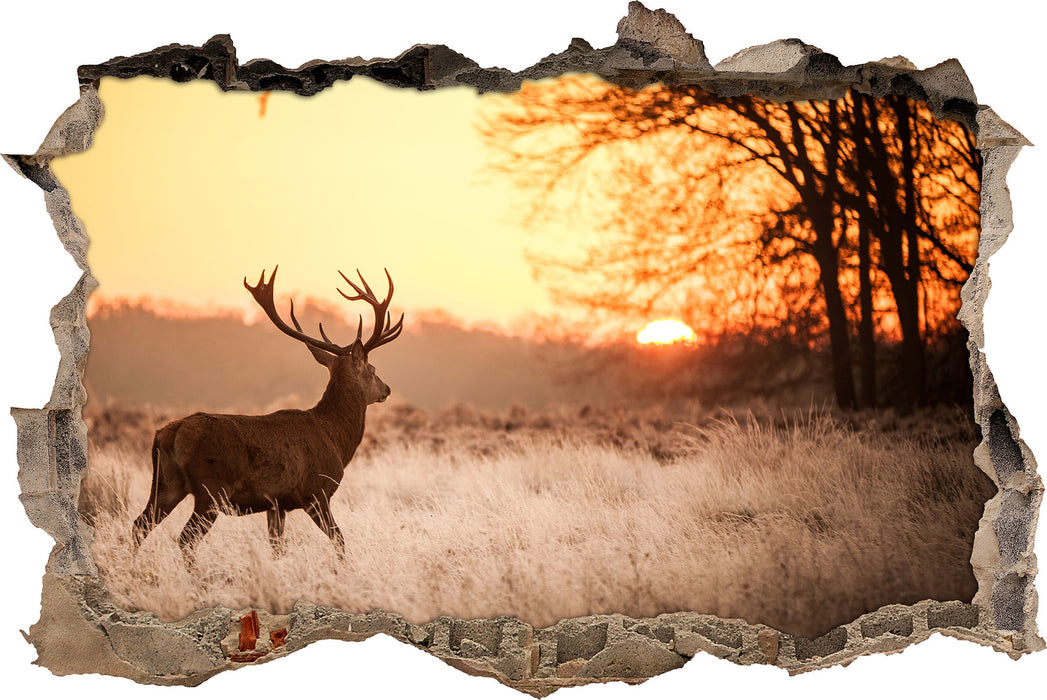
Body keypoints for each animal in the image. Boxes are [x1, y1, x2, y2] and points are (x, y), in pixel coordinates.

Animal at [131, 266, 403, 564]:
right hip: (211, 489)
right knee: (185, 538)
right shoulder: (316, 492)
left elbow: (277, 547)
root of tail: (169, 433)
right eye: (373, 369)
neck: (335, 437)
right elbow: (340, 540)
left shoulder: (276, 503)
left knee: (139, 525)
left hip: (166, 483)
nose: (387, 389)